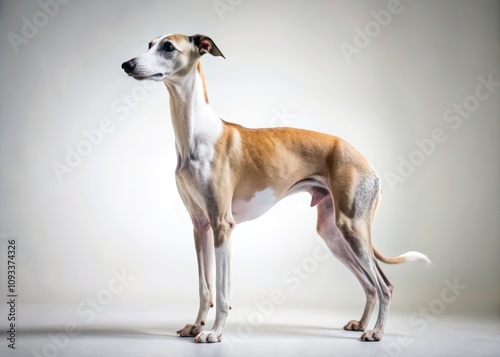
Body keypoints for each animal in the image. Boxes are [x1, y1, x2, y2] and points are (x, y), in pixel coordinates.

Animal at [121, 33, 430, 342]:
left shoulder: (222, 225)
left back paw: (375, 331)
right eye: (150, 44)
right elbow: (204, 287)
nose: (127, 64)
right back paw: (362, 324)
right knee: (369, 284)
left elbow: (222, 292)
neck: (195, 133)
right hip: (333, 233)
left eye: (168, 47)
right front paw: (196, 327)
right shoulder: (200, 226)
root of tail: (367, 162)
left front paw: (214, 333)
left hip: (352, 227)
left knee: (384, 285)